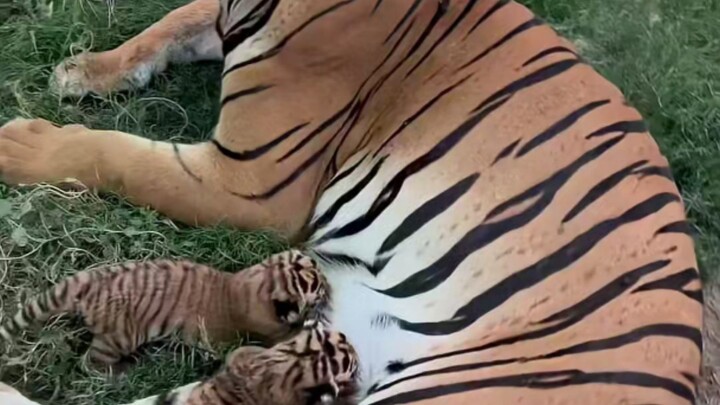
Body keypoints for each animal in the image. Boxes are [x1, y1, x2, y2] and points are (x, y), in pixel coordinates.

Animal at [0, 250, 329, 369]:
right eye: (317, 286)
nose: (327, 281)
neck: (260, 282)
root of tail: (92, 280)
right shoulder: (267, 331)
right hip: (118, 338)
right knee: (90, 363)